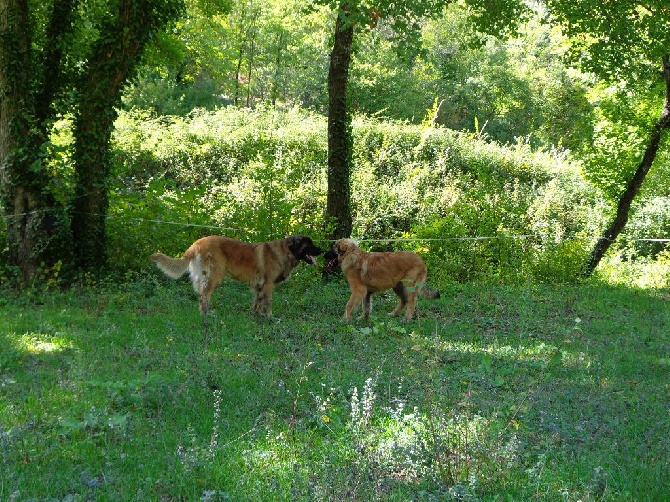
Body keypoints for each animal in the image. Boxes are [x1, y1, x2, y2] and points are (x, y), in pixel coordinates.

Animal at [151, 235, 324, 318]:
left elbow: (257, 302)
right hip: (214, 276)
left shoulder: (259, 286)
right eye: (309, 244)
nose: (322, 250)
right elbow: (268, 303)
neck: (285, 251)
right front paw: (269, 317)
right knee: (203, 298)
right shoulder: (268, 285)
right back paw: (207, 315)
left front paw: (256, 315)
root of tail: (195, 244)